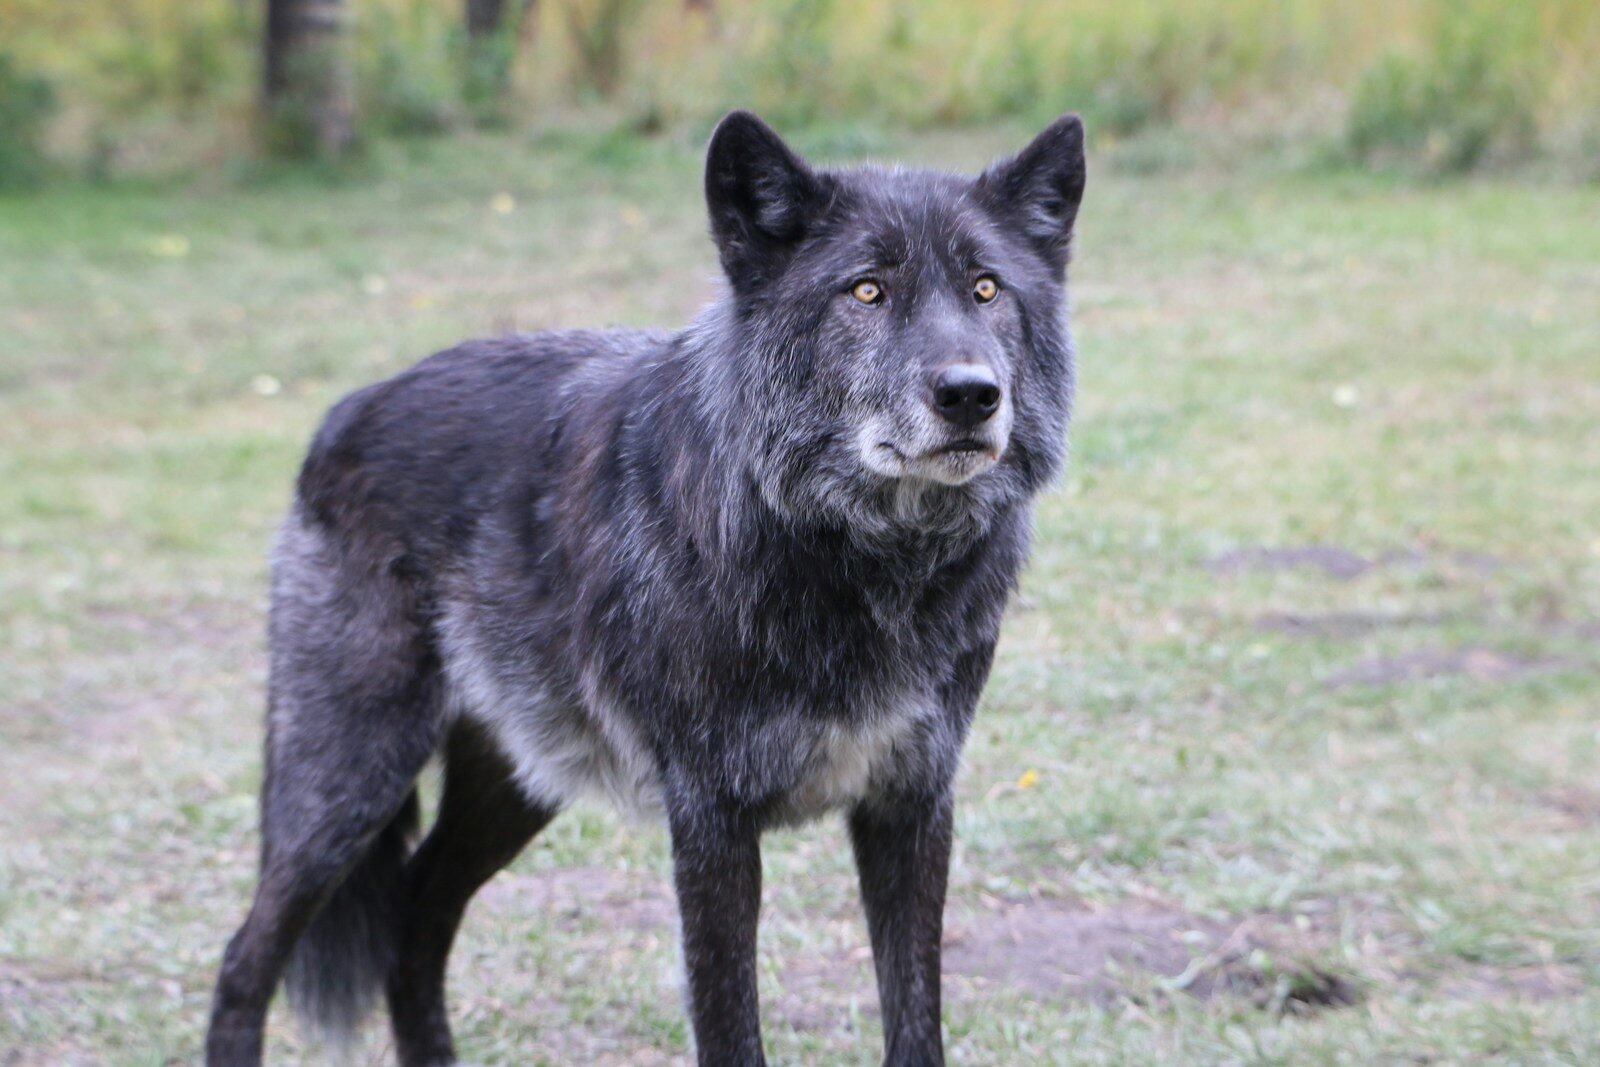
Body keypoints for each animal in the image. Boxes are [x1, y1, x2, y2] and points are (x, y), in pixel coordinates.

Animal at [206, 109, 1085, 1066]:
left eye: (987, 289)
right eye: (866, 291)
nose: (971, 395)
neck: (865, 559)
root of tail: (342, 412)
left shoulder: (912, 802)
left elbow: (916, 1024)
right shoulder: (710, 820)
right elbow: (730, 1026)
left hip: (513, 786)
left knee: (415, 921)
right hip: (347, 781)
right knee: (246, 955)